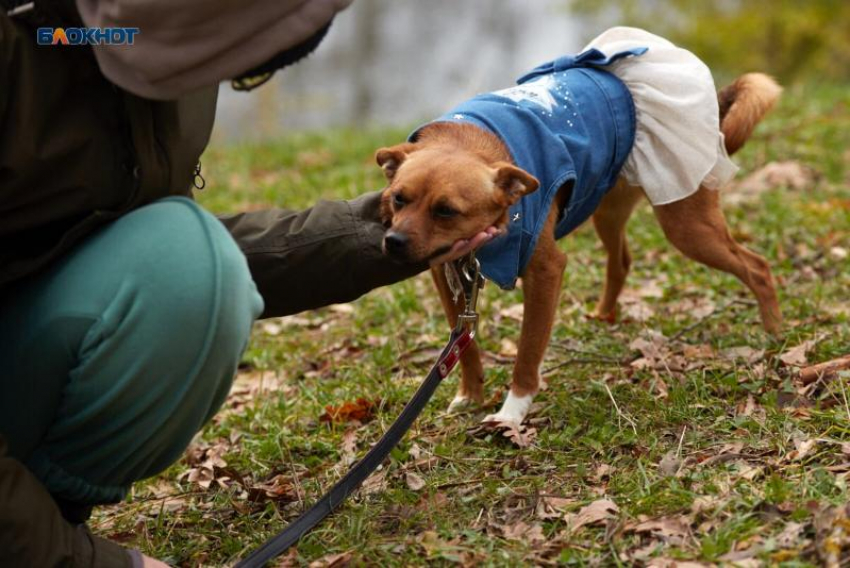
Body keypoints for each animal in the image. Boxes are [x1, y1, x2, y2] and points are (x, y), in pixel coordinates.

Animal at [374, 31, 780, 424]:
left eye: (446, 211)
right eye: (397, 199)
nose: (393, 242)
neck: (474, 138)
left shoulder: (545, 271)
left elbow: (527, 350)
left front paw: (511, 413)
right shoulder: (447, 274)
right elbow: (466, 344)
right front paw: (471, 394)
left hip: (687, 224)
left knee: (757, 267)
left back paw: (774, 334)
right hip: (607, 208)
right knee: (621, 262)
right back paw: (603, 316)